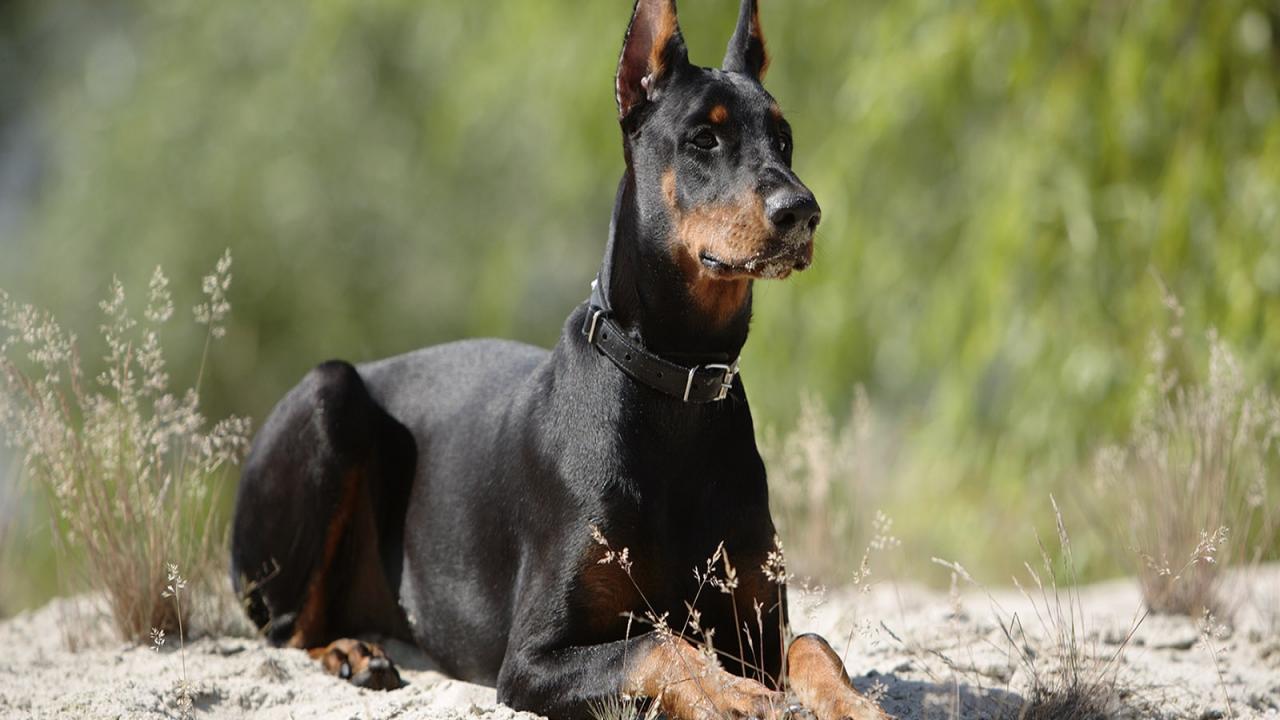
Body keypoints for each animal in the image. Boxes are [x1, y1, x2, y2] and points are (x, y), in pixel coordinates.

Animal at [230, 2, 889, 718]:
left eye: (785, 138)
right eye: (703, 139)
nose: (803, 212)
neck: (676, 382)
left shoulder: (756, 626)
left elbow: (813, 645)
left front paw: (856, 703)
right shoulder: (531, 659)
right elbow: (659, 647)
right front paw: (737, 696)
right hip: (331, 392)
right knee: (288, 627)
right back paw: (350, 653)